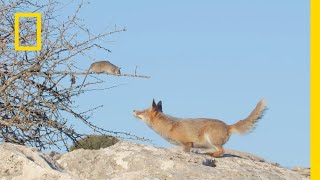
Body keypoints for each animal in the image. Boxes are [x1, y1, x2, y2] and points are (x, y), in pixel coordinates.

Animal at [133, 99, 268, 157]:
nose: (133, 110)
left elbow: (186, 151)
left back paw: (212, 155)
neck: (170, 127)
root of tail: (227, 125)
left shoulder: (187, 144)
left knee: (222, 151)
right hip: (209, 143)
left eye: (143, 111)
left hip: (212, 139)